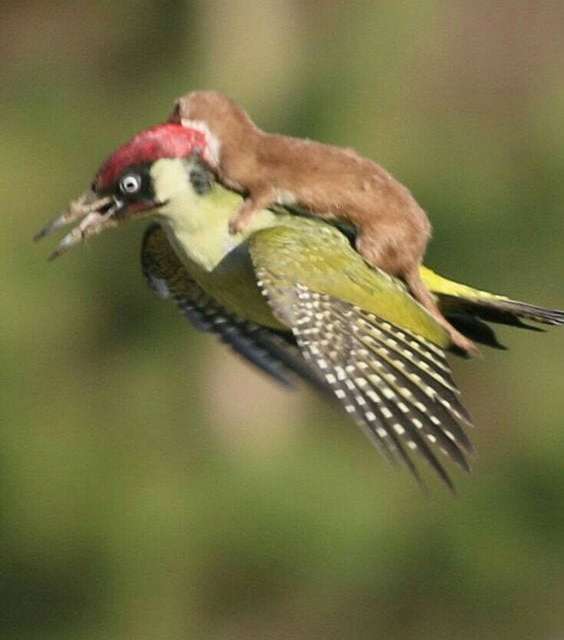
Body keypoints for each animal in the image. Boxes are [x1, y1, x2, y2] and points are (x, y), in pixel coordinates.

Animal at [167, 90, 476, 356]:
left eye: (173, 112)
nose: (165, 119)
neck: (235, 146)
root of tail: (417, 250)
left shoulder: (261, 178)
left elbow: (260, 196)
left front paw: (238, 221)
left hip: (378, 237)